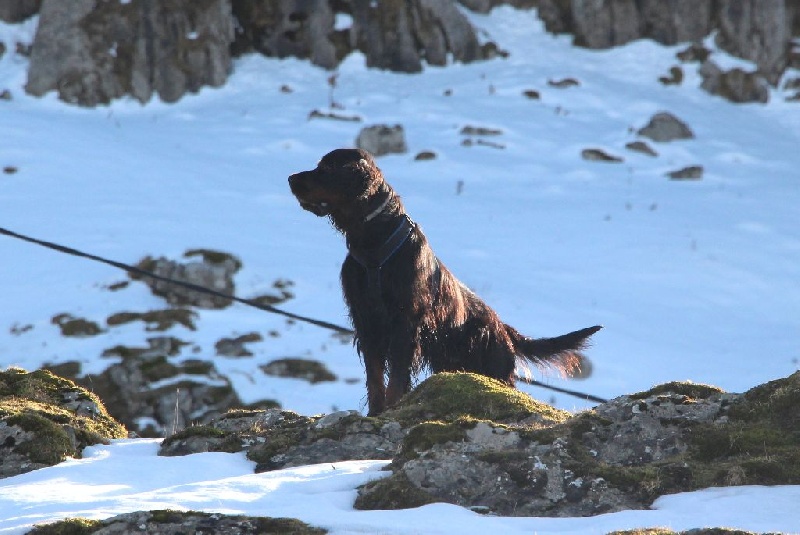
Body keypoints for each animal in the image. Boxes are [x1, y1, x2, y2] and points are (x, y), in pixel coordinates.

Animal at [288, 149, 600, 416]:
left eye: (327, 168)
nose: (291, 178)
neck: (375, 242)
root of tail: (503, 328)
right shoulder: (367, 321)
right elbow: (375, 376)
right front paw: (375, 413)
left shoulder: (405, 322)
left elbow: (397, 376)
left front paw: (391, 408)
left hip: (492, 366)